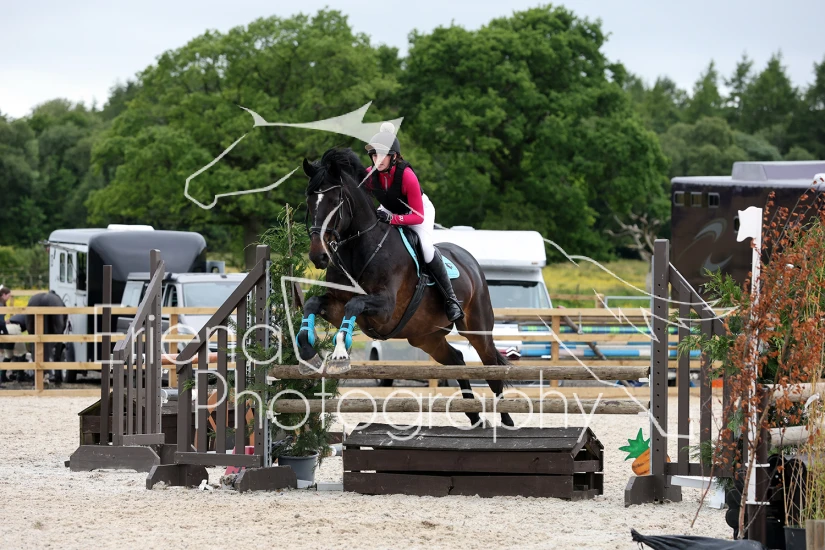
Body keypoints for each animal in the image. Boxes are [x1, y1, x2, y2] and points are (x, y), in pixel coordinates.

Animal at [295, 147, 514, 427]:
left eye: (336, 203)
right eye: (310, 202)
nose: (318, 256)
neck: (358, 249)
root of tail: (470, 262)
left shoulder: (385, 308)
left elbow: (355, 304)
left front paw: (340, 354)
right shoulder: (336, 305)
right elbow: (314, 303)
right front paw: (308, 353)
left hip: (477, 328)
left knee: (492, 368)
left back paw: (506, 419)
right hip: (425, 337)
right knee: (457, 359)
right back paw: (474, 416)